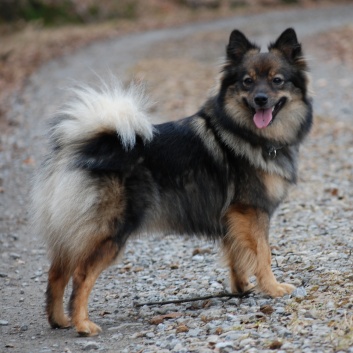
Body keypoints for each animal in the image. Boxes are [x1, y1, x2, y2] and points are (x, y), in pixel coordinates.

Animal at [32, 28, 310, 336]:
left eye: (276, 80)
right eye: (247, 82)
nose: (261, 99)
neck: (248, 133)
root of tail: (87, 147)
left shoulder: (233, 219)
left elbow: (237, 256)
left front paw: (242, 288)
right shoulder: (251, 211)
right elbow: (263, 255)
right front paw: (272, 288)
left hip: (73, 231)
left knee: (56, 273)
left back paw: (59, 320)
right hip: (110, 231)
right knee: (80, 274)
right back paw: (83, 324)